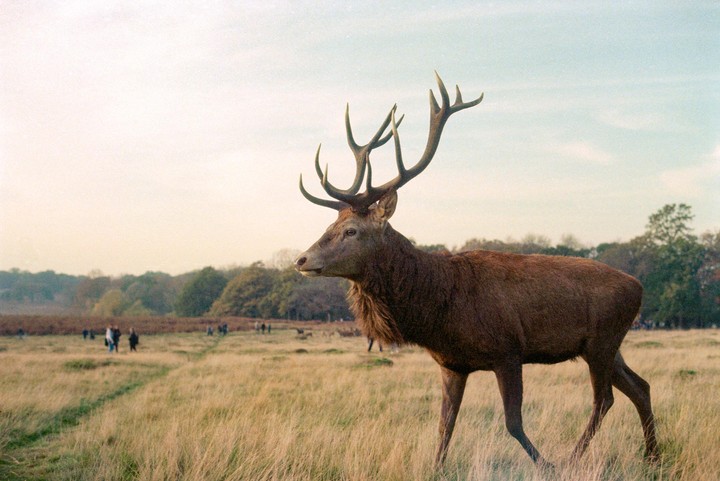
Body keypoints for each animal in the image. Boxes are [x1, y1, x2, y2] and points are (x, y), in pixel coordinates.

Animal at [294, 73, 659, 468]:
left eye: (351, 231)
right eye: (330, 224)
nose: (301, 259)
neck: (440, 310)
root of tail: (638, 287)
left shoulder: (508, 351)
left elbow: (513, 423)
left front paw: (545, 464)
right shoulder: (452, 364)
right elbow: (444, 428)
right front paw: (436, 467)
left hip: (602, 340)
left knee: (604, 398)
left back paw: (573, 458)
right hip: (608, 345)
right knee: (640, 386)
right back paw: (654, 455)